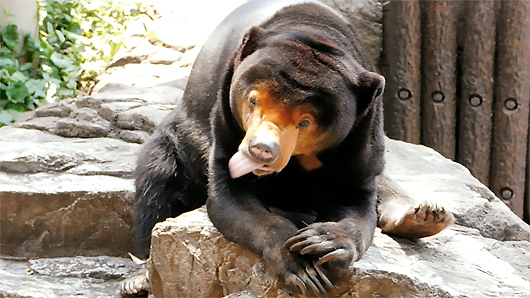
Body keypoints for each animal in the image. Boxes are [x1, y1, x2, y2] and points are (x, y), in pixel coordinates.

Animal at [121, 0, 452, 296]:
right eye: (253, 100)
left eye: (305, 121)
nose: (260, 150)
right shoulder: (226, 124)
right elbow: (233, 197)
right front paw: (301, 268)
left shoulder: (362, 133)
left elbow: (356, 200)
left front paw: (323, 240)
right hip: (180, 140)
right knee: (158, 180)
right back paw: (139, 279)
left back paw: (425, 216)